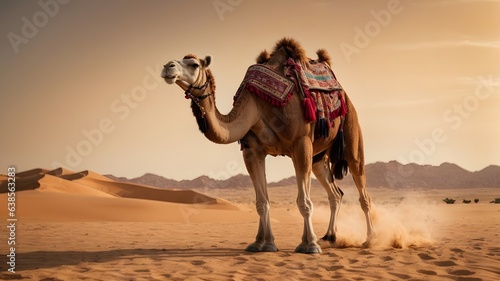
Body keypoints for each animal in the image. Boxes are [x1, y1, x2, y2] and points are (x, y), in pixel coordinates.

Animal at [161, 37, 376, 254]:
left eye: (194, 64)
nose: (167, 66)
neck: (256, 106)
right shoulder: (252, 150)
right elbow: (262, 202)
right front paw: (263, 243)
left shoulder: (301, 144)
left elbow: (304, 202)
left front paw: (309, 245)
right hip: (318, 158)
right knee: (336, 194)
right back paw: (330, 237)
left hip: (351, 139)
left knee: (363, 192)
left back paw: (369, 240)